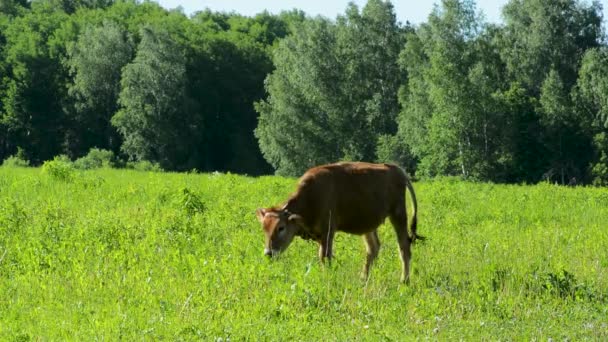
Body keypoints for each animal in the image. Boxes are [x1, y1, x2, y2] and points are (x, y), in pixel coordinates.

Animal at [254, 162, 420, 284]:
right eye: (264, 228)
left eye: (281, 228)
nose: (268, 253)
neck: (310, 197)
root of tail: (397, 170)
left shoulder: (328, 231)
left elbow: (324, 256)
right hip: (369, 226)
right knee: (373, 248)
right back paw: (363, 279)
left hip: (398, 215)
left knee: (404, 247)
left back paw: (404, 281)